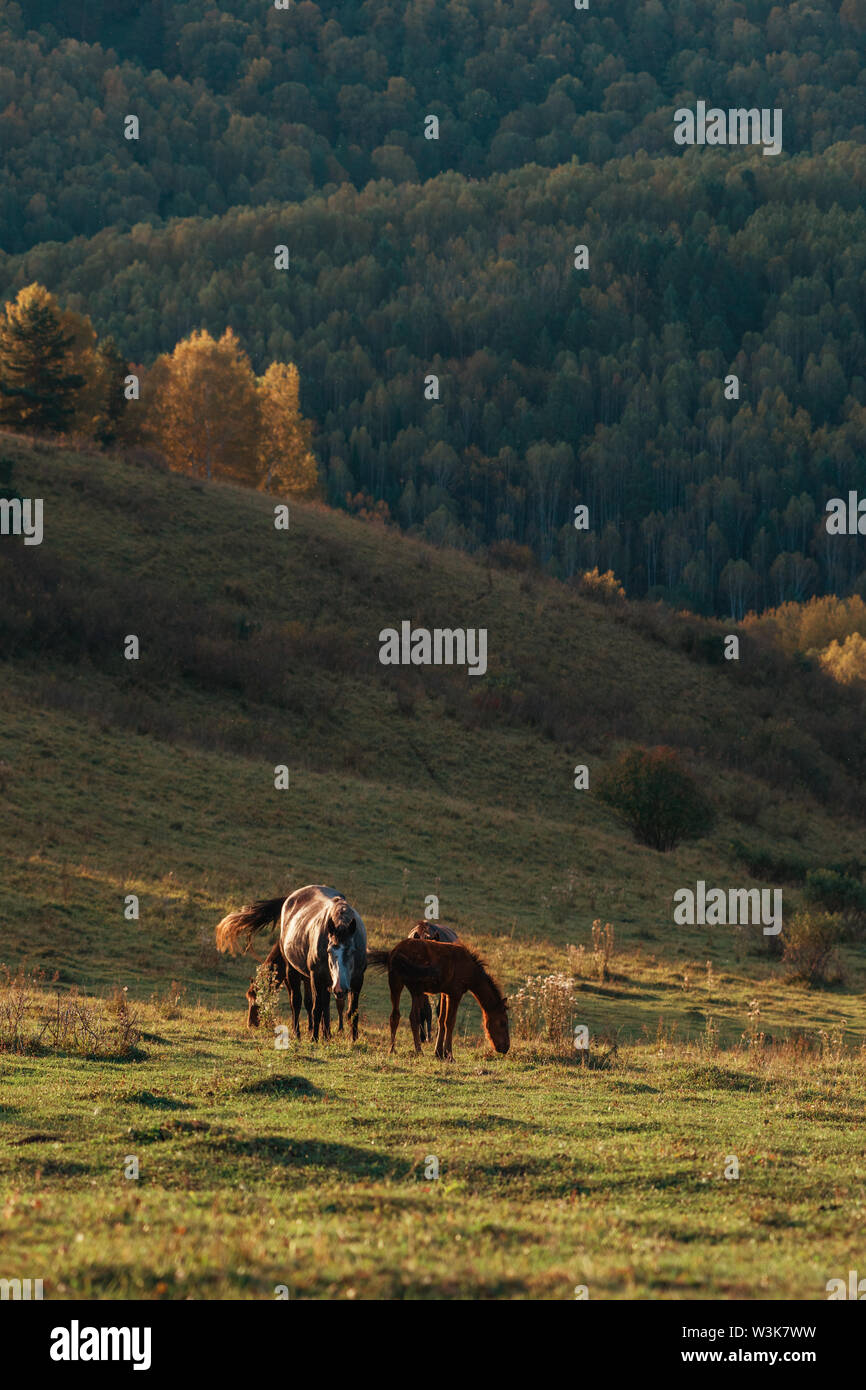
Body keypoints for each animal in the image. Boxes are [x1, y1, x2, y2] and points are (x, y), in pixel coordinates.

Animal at [216, 885, 367, 1041]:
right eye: (329, 951)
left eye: (352, 951)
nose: (251, 1024)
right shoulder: (313, 977)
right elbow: (314, 1006)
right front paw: (315, 1037)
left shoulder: (356, 979)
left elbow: (351, 1011)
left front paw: (352, 1039)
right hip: (295, 973)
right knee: (298, 1002)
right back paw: (298, 1033)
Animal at [366, 938, 509, 1061]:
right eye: (503, 1022)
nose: (505, 1048)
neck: (471, 972)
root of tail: (394, 953)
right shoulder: (455, 993)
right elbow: (450, 1022)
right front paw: (449, 1055)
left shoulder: (445, 993)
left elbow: (441, 1020)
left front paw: (439, 1052)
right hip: (417, 989)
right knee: (413, 1017)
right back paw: (419, 1051)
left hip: (396, 983)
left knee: (395, 1015)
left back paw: (392, 1049)